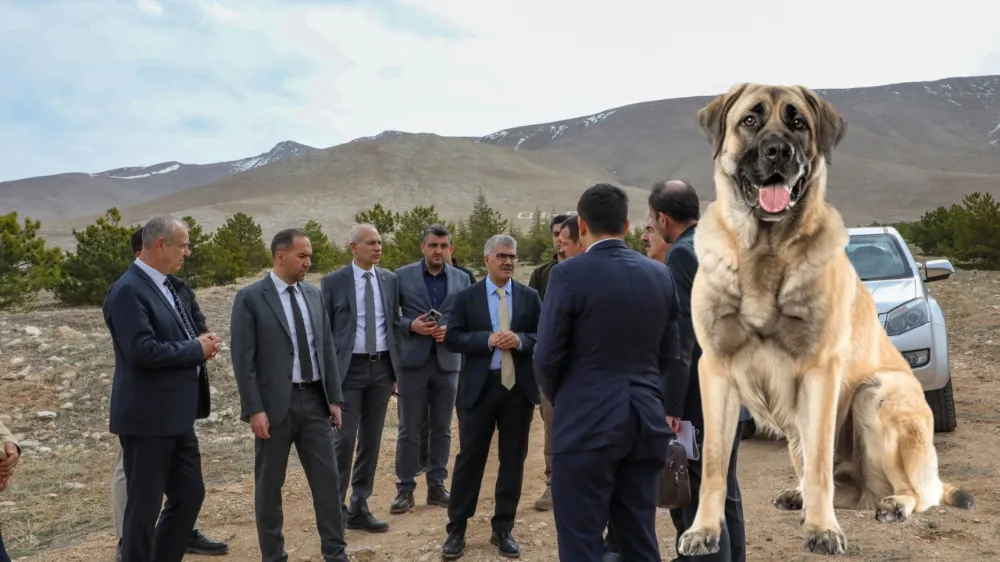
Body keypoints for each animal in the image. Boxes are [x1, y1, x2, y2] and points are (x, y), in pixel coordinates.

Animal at [676, 84, 972, 556]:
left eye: (798, 123)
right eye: (749, 120)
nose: (779, 151)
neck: (764, 253)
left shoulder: (820, 374)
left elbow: (818, 467)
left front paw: (821, 530)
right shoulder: (717, 371)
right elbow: (714, 468)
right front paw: (703, 530)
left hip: (876, 395)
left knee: (916, 491)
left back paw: (894, 504)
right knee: (847, 486)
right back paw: (801, 495)